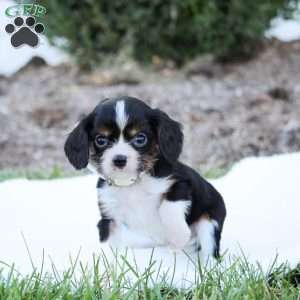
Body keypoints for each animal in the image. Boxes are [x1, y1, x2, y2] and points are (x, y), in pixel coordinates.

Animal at [64, 96, 226, 260]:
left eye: (140, 138)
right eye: (101, 140)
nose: (119, 159)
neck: (131, 184)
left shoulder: (180, 182)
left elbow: (168, 208)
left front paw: (178, 235)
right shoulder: (110, 215)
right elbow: (112, 241)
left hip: (209, 223)